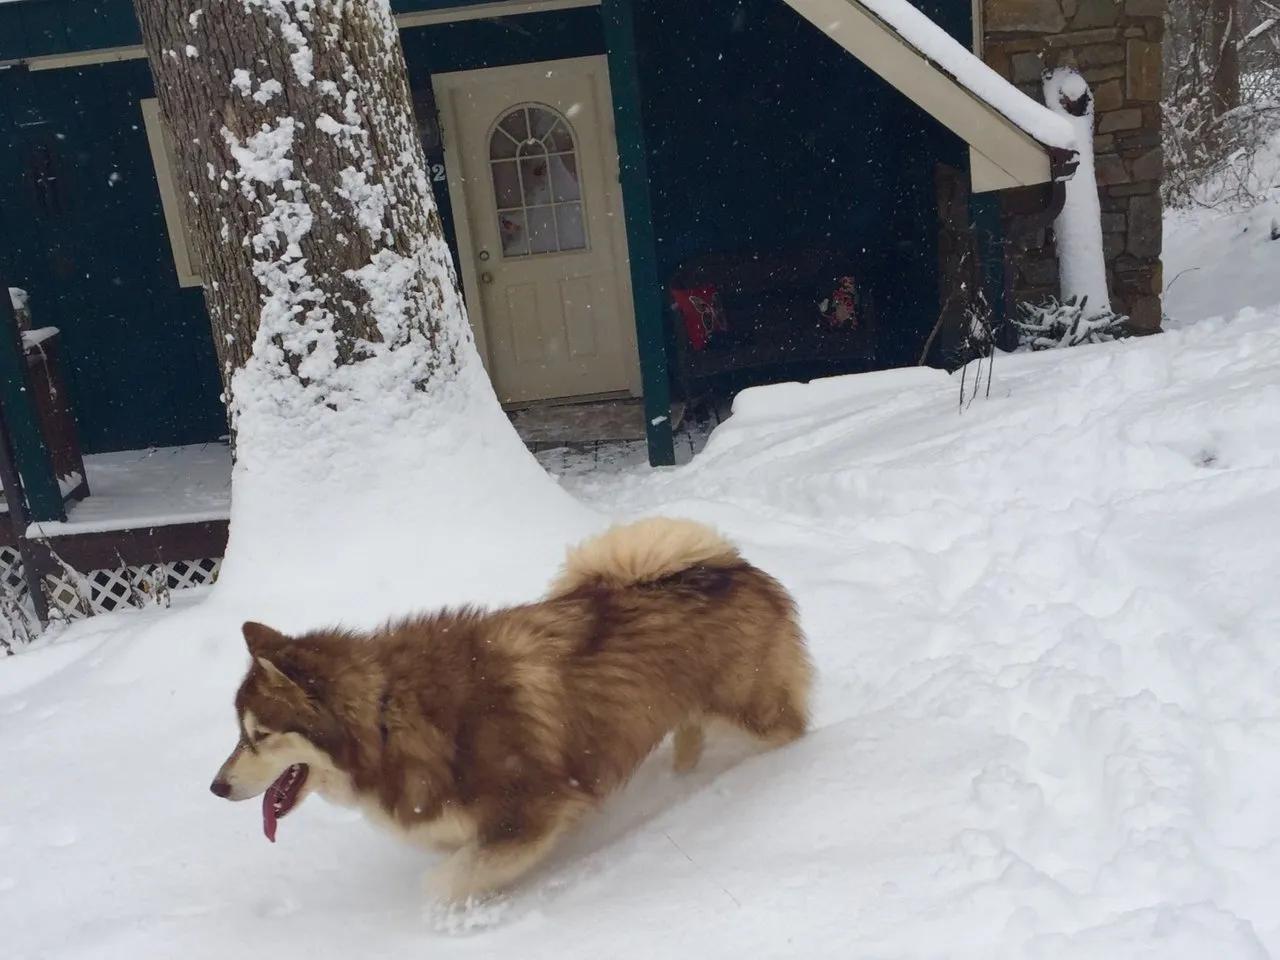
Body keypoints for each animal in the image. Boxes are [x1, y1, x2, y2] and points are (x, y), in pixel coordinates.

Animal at [208, 519, 808, 901]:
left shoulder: (534, 808)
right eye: (240, 733)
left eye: (260, 734)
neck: (387, 714)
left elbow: (456, 879)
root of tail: (729, 563)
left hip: (755, 708)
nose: (215, 787)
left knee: (791, 729)